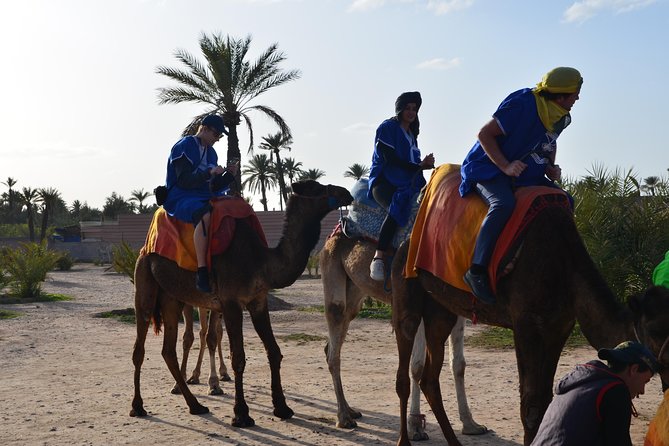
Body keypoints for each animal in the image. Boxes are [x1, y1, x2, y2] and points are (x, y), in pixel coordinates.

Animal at [130, 180, 354, 428]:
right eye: (315, 187)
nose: (345, 192)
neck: (260, 261)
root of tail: (145, 248)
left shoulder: (258, 301)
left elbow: (274, 351)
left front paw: (282, 408)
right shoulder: (230, 303)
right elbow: (238, 357)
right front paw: (241, 414)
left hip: (171, 298)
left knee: (168, 350)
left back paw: (195, 405)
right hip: (144, 283)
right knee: (139, 347)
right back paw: (138, 407)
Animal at [320, 233, 486, 439]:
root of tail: (331, 237)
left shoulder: (455, 307)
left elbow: (458, 364)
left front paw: (471, 425)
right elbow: (417, 366)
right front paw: (415, 426)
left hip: (355, 291)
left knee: (333, 341)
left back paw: (350, 410)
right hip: (332, 269)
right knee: (334, 340)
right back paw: (343, 418)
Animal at [391, 205, 669, 446]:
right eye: (655, 330)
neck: (566, 269)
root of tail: (404, 245)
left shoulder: (558, 327)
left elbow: (544, 398)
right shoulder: (525, 325)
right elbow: (530, 404)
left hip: (441, 310)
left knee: (430, 376)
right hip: (406, 294)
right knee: (404, 368)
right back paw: (405, 439)